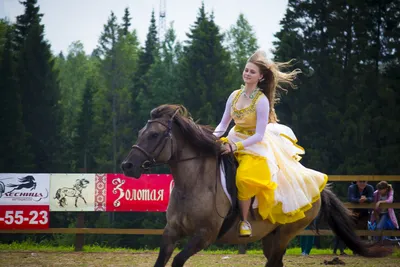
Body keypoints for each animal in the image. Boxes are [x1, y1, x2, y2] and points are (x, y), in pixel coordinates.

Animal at [121, 104, 390, 267]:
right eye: (140, 132)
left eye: (154, 135)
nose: (127, 166)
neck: (193, 184)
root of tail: (319, 189)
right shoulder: (171, 232)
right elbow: (161, 261)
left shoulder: (204, 236)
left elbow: (178, 261)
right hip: (270, 237)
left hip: (284, 234)